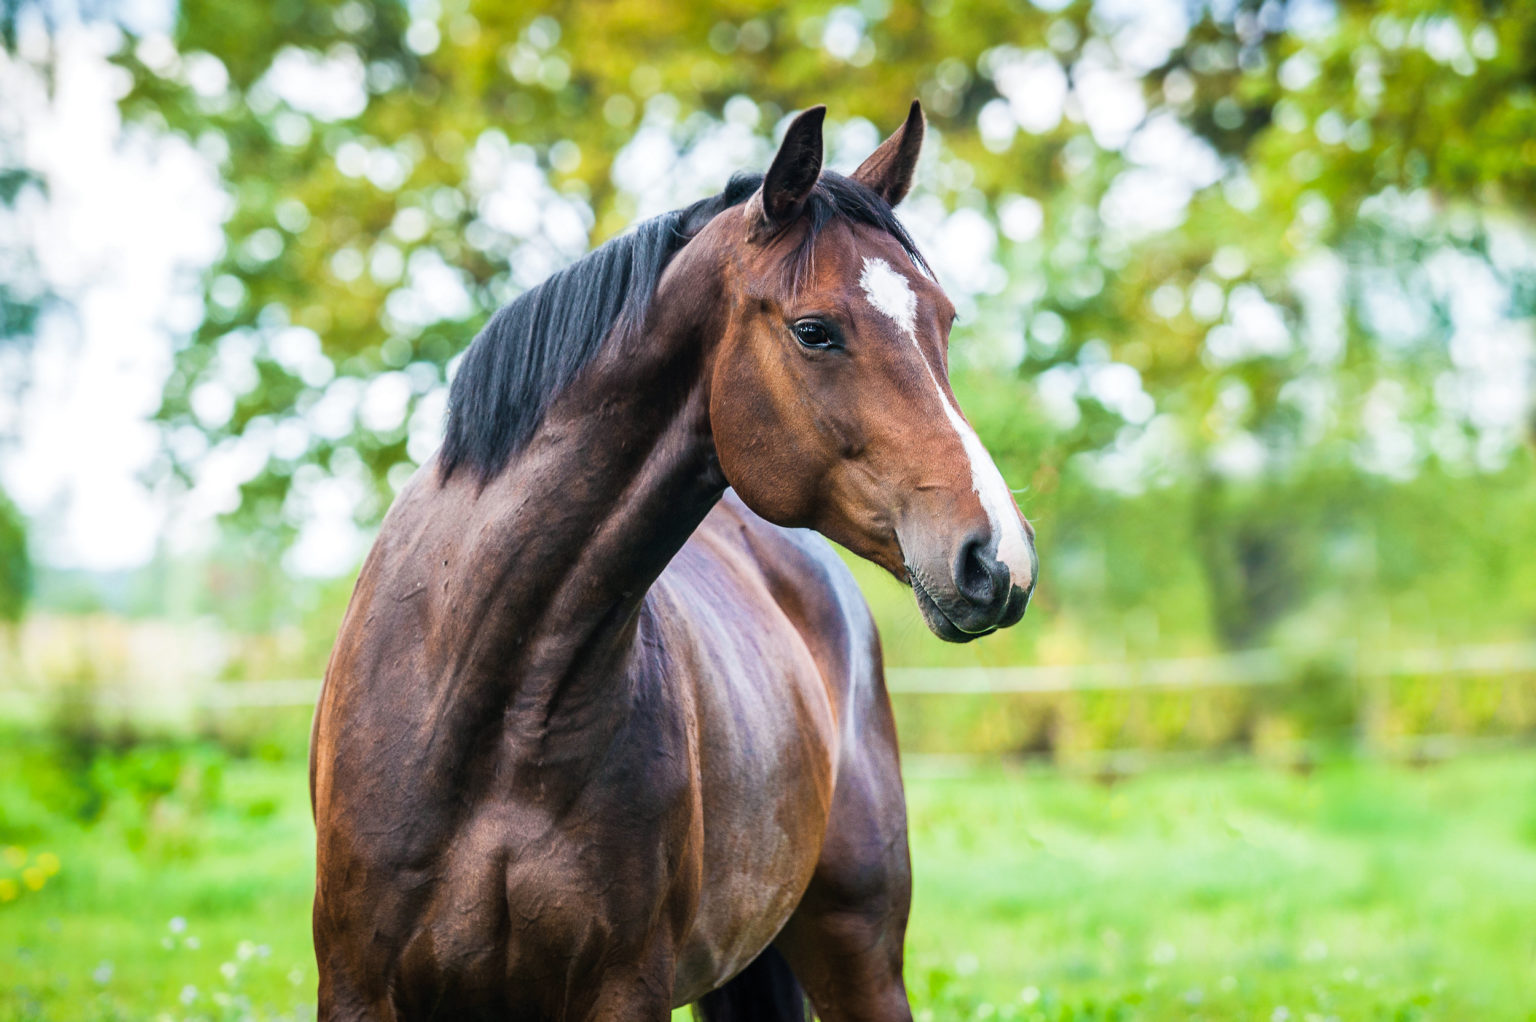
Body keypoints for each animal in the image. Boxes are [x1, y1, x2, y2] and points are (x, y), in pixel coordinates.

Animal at [307, 101, 1038, 1020]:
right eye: (815, 331)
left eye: (941, 321)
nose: (998, 558)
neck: (486, 700)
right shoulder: (357, 987)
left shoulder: (627, 988)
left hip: (859, 952)